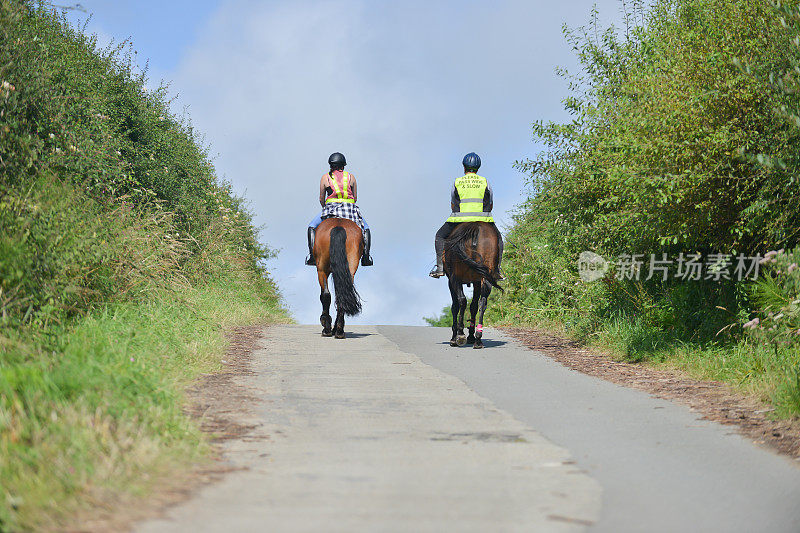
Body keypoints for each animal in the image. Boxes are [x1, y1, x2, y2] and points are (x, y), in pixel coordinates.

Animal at [444, 221, 500, 350]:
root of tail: (475, 227)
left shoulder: (451, 280)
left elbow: (455, 306)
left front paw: (454, 338)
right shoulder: (477, 281)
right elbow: (474, 306)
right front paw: (471, 336)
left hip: (456, 277)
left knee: (462, 300)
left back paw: (460, 335)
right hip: (485, 276)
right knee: (482, 303)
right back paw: (478, 339)